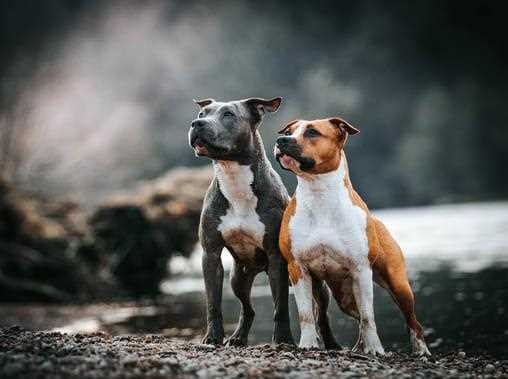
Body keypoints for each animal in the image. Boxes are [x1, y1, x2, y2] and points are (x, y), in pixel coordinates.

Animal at [189, 96, 294, 346]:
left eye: (228, 114)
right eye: (201, 114)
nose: (196, 124)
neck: (234, 178)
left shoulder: (276, 257)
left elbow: (280, 306)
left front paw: (283, 339)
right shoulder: (211, 255)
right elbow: (213, 303)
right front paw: (212, 337)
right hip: (238, 278)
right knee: (248, 309)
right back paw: (237, 337)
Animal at [274, 118, 428, 356]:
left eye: (312, 132)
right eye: (289, 131)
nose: (281, 140)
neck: (319, 193)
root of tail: (377, 220)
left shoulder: (361, 269)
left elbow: (368, 317)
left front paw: (375, 348)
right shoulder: (297, 268)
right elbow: (306, 315)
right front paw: (308, 344)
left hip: (399, 286)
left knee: (412, 321)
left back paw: (421, 350)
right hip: (344, 297)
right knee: (356, 318)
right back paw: (357, 348)